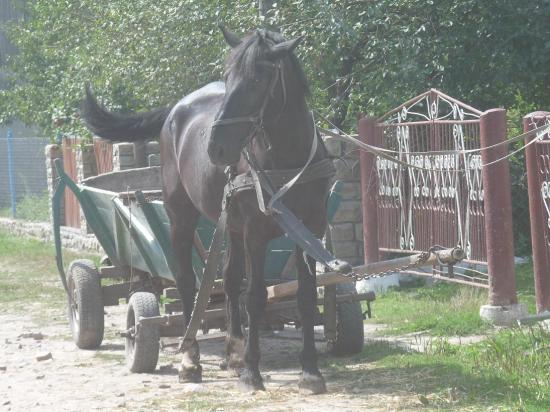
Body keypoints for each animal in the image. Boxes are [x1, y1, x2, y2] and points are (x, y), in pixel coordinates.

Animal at [82, 25, 332, 392]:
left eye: (258, 79)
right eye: (227, 77)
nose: (216, 147)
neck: (287, 160)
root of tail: (177, 108)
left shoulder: (309, 230)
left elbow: (305, 296)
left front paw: (311, 371)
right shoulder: (256, 232)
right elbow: (255, 296)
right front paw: (252, 372)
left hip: (231, 224)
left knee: (228, 279)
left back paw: (234, 352)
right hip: (180, 217)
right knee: (188, 281)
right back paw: (190, 359)